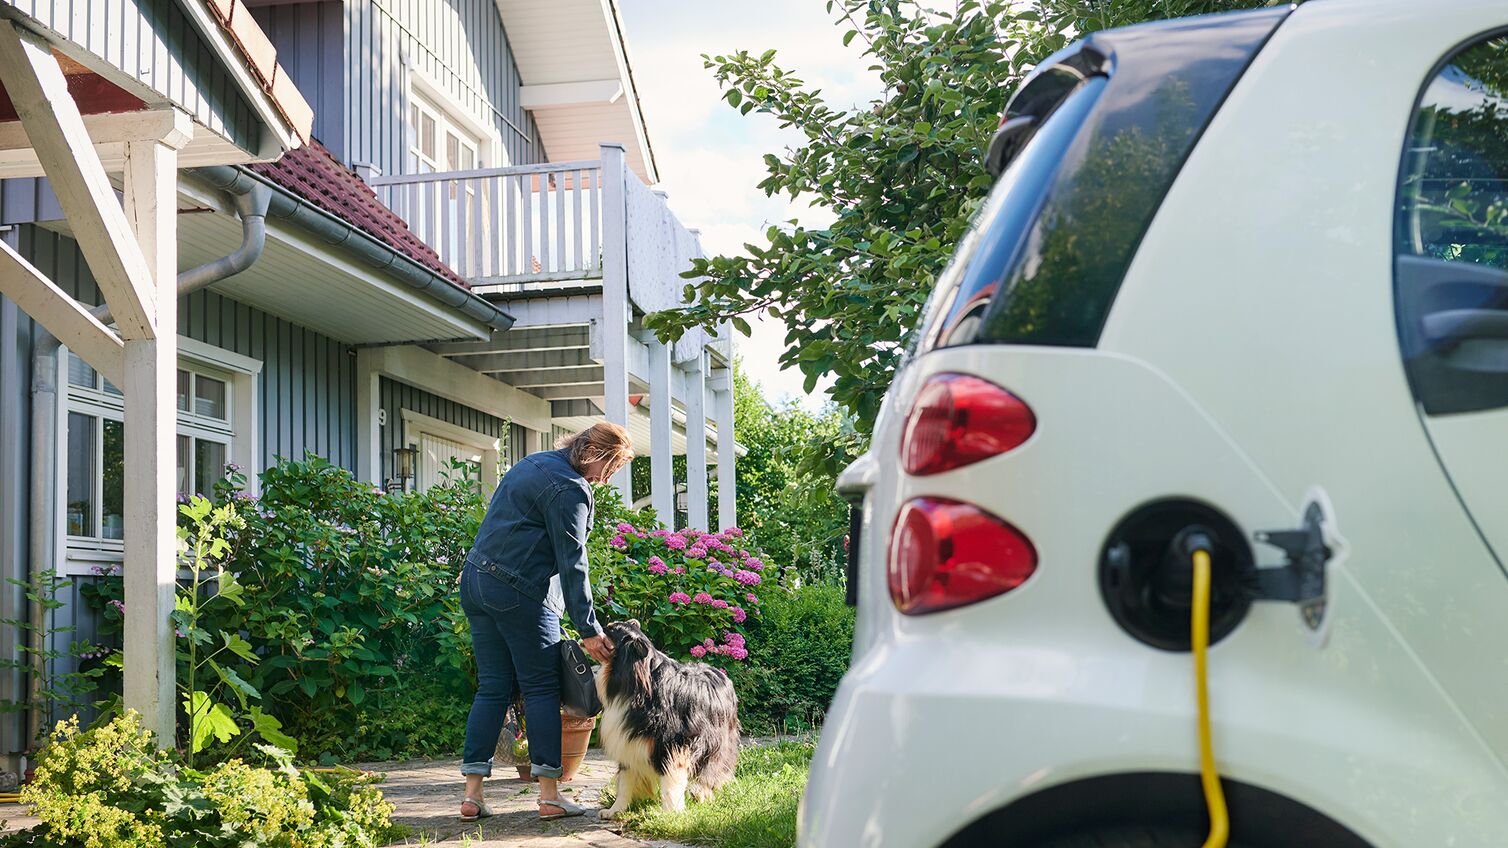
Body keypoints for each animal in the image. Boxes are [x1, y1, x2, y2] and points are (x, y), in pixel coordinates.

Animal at [597, 618, 744, 814]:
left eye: (611, 629)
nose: (599, 625)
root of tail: (721, 673)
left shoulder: (673, 745)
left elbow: (670, 783)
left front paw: (670, 813)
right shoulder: (628, 741)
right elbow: (625, 783)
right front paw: (615, 811)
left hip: (717, 742)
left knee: (710, 770)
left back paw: (702, 795)